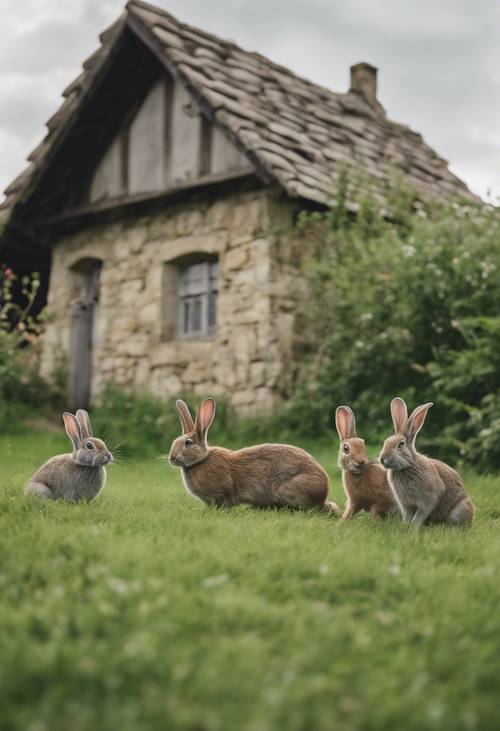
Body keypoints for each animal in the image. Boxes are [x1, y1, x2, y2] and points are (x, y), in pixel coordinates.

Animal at [169, 398, 340, 512]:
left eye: (188, 443)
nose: (172, 458)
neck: (201, 461)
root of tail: (323, 492)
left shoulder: (220, 494)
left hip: (290, 489)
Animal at [380, 398, 474, 528]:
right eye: (386, 441)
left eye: (401, 444)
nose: (382, 459)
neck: (408, 465)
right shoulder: (407, 504)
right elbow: (408, 516)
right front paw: (406, 527)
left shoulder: (428, 499)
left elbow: (419, 516)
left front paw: (413, 529)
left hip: (459, 510)